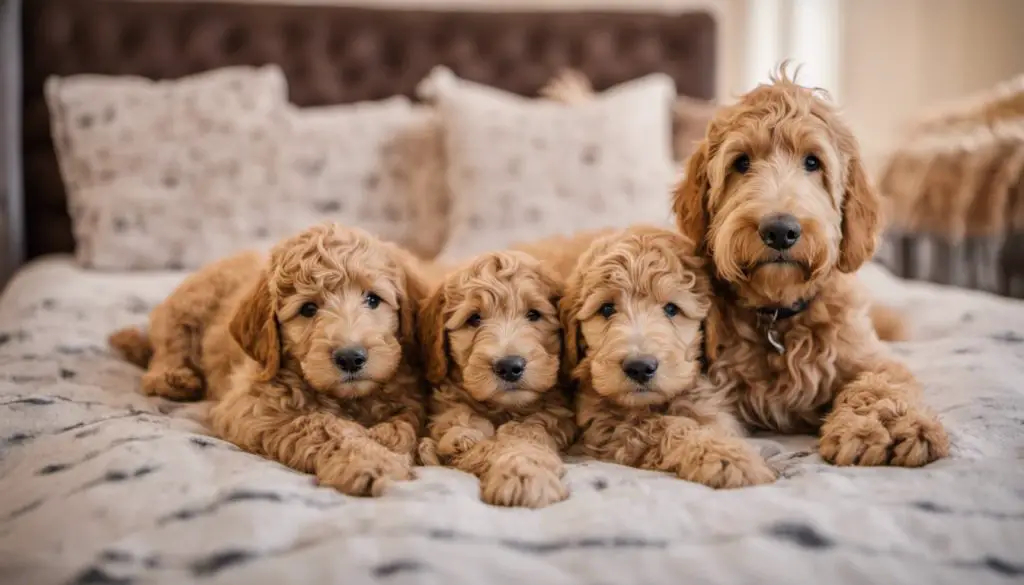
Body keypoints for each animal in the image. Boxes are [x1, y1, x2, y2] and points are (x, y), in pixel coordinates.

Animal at [110, 223, 430, 493]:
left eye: (373, 299)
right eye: (308, 309)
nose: (351, 358)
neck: (347, 398)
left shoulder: (407, 395)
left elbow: (404, 422)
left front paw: (385, 438)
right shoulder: (253, 406)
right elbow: (321, 425)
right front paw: (370, 461)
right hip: (188, 305)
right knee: (169, 343)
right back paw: (172, 377)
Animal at [415, 251, 577, 508]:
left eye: (534, 315)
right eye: (474, 319)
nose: (509, 367)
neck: (504, 407)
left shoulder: (555, 415)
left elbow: (524, 436)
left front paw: (524, 475)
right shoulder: (449, 407)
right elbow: (465, 429)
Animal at [561, 226, 774, 487]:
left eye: (672, 309)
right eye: (606, 309)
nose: (640, 367)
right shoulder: (606, 425)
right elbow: (663, 427)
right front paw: (726, 457)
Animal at [671, 66, 950, 467]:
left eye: (812, 162)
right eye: (741, 163)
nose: (780, 230)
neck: (778, 317)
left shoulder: (869, 357)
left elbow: (881, 381)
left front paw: (886, 425)